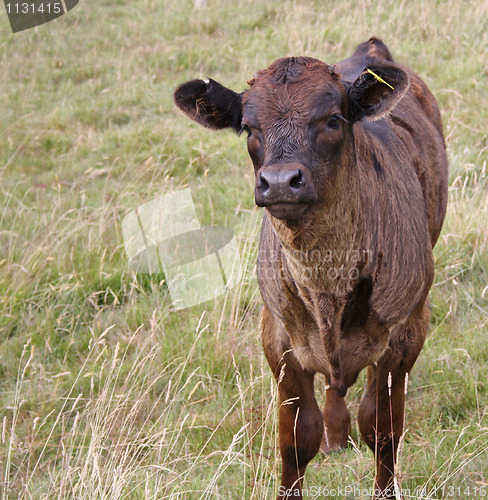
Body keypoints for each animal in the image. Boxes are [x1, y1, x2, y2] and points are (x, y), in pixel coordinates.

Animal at [173, 37, 448, 498]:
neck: (326, 286)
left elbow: (382, 429)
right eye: (249, 128)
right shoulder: (277, 337)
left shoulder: (407, 332)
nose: (281, 181)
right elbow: (297, 438)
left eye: (333, 119)